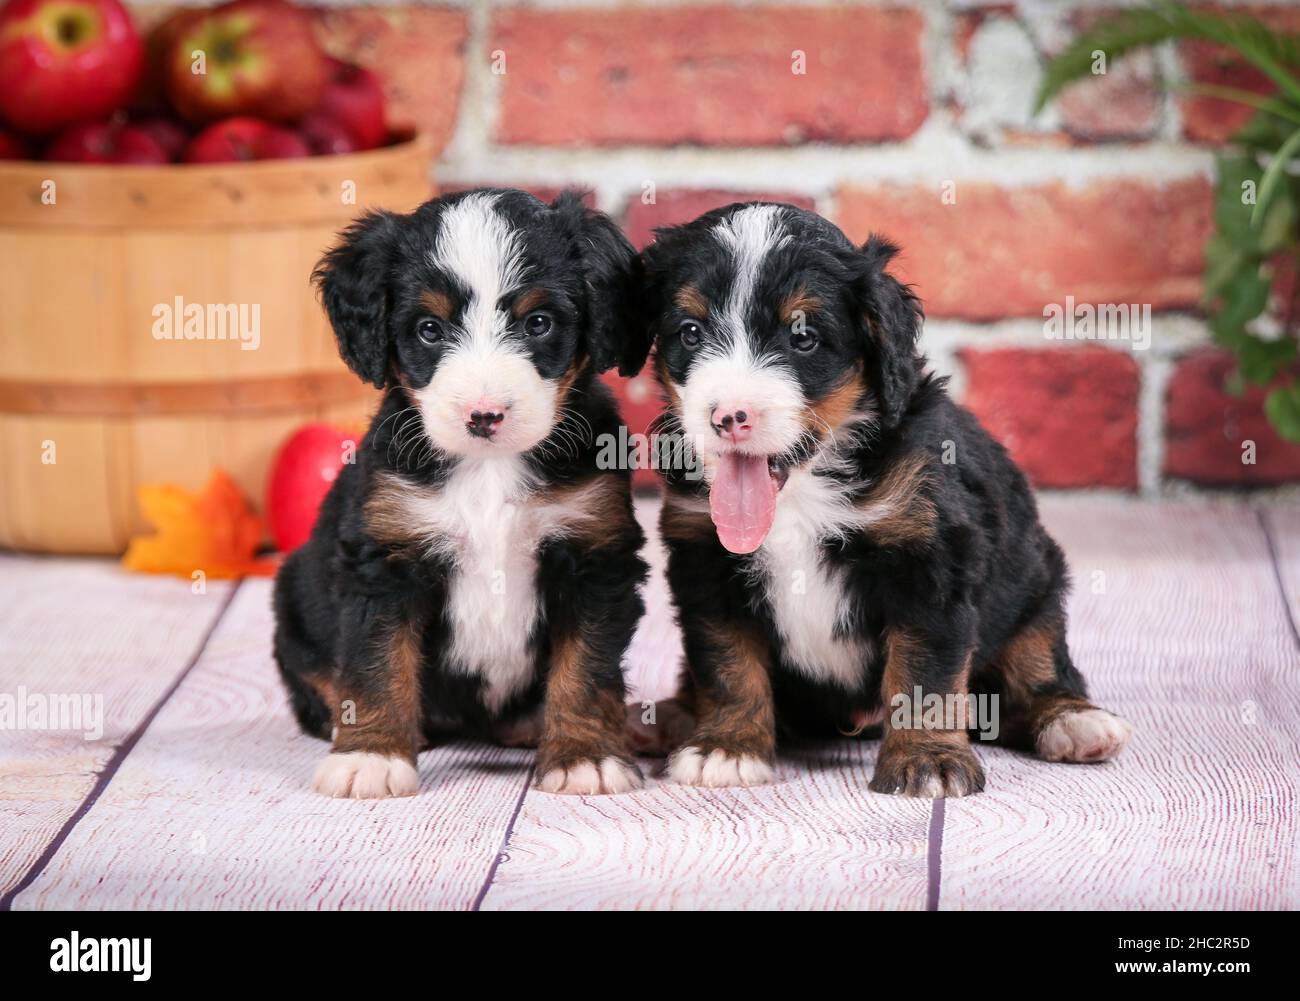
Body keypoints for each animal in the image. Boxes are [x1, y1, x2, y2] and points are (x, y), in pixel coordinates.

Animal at [280, 184, 655, 795]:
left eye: (538, 323)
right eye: (430, 329)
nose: (484, 416)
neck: (489, 469)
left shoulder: (593, 554)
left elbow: (586, 669)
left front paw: (586, 757)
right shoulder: (386, 558)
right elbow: (376, 664)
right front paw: (372, 756)